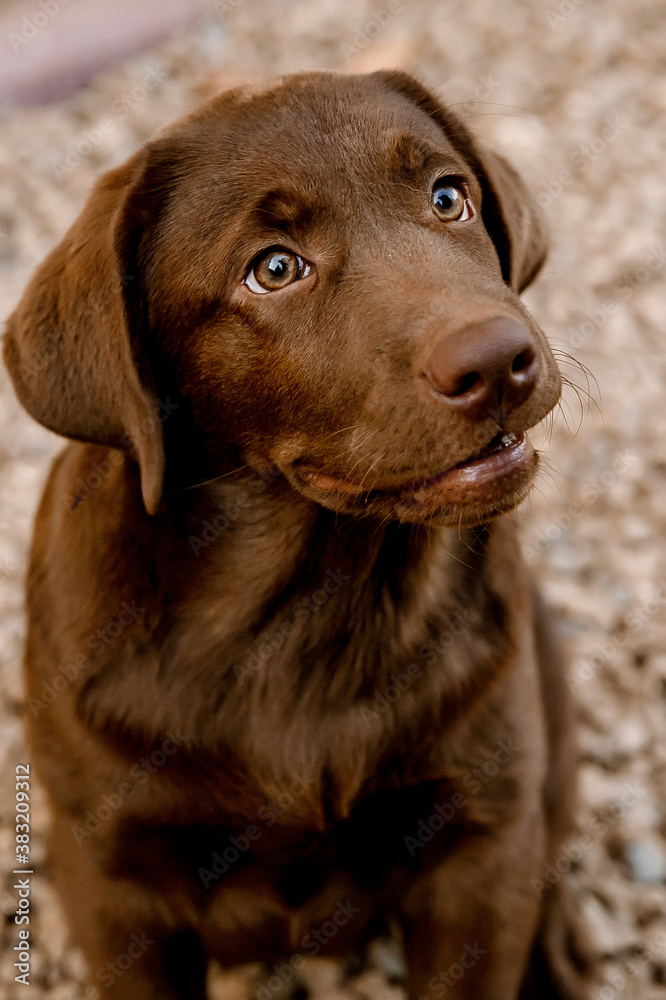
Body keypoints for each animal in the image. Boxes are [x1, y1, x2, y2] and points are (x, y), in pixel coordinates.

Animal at [3, 72, 588, 1000]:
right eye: (273, 270)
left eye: (448, 197)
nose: (499, 360)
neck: (306, 607)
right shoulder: (117, 880)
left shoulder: (480, 853)